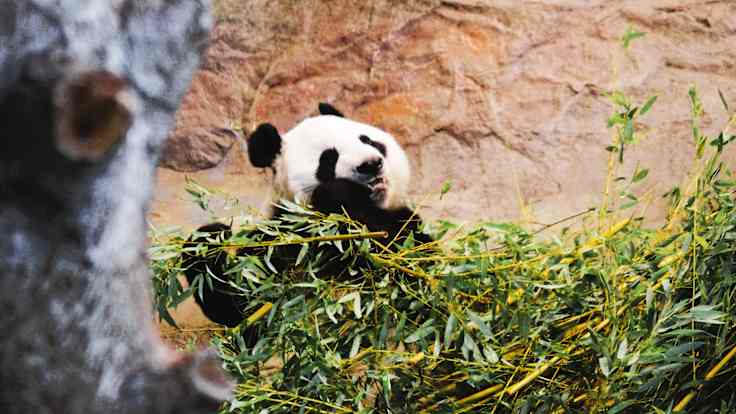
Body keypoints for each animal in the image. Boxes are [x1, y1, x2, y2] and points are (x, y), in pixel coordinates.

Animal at [181, 103, 431, 328]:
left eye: (367, 140)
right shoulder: (277, 244)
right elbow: (244, 308)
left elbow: (411, 261)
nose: (370, 164)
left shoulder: (403, 222)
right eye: (328, 158)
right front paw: (210, 239)